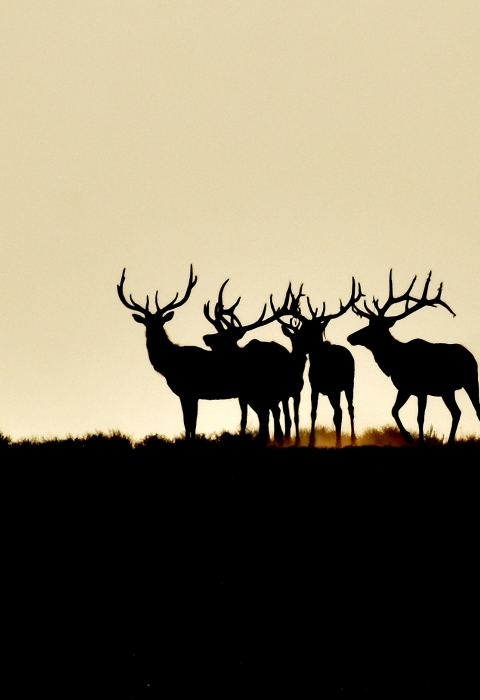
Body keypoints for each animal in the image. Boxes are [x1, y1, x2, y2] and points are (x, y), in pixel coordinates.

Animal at [117, 266, 248, 438]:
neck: (170, 364)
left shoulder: (191, 391)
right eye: (147, 323)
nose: (153, 334)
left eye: (161, 322)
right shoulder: (185, 394)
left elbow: (191, 423)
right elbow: (188, 423)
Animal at [202, 280, 292, 440]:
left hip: (279, 391)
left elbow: (257, 417)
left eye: (224, 336)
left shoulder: (252, 393)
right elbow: (247, 419)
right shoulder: (244, 394)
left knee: (279, 413)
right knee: (274, 413)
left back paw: (280, 438)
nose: (206, 337)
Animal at [284, 278, 362, 448]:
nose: (297, 347)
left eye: (312, 331)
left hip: (349, 384)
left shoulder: (334, 387)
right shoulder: (314, 387)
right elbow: (313, 412)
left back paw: (352, 439)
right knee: (340, 411)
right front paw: (311, 441)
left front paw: (339, 441)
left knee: (349, 408)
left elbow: (338, 413)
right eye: (303, 328)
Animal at [346, 270, 480, 446]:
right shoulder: (405, 388)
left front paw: (419, 441)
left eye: (373, 328)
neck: (394, 362)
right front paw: (409, 437)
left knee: (476, 409)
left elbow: (420, 417)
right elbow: (394, 410)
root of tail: (472, 357)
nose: (350, 337)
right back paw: (450, 442)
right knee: (457, 412)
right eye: (368, 324)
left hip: (471, 380)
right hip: (447, 390)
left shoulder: (421, 389)